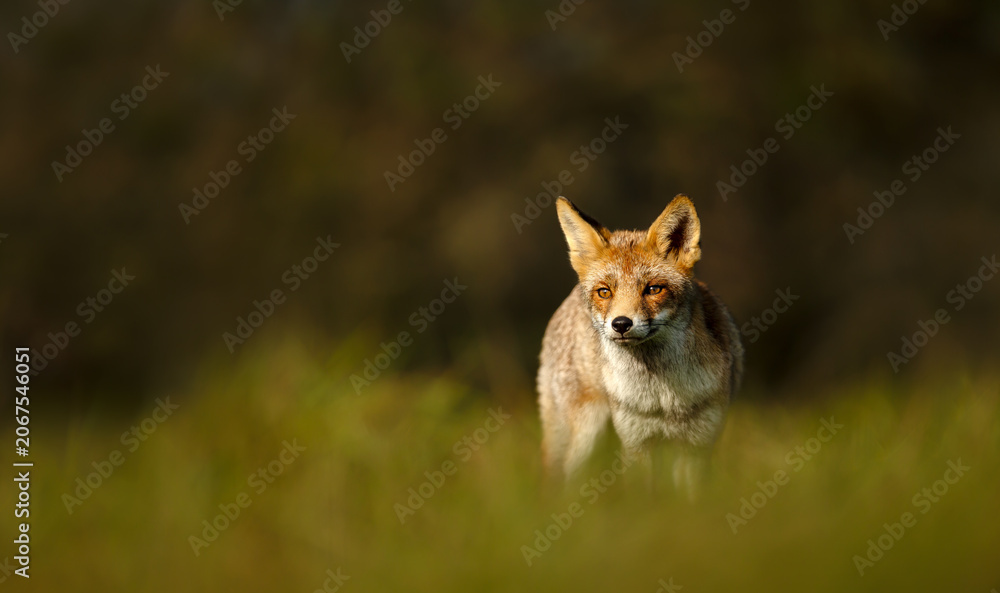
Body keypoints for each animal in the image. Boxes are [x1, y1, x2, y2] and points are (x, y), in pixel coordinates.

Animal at [537, 194, 743, 496]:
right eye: (605, 292)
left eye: (653, 289)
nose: (621, 324)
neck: (661, 398)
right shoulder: (636, 442)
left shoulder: (696, 445)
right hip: (586, 435)